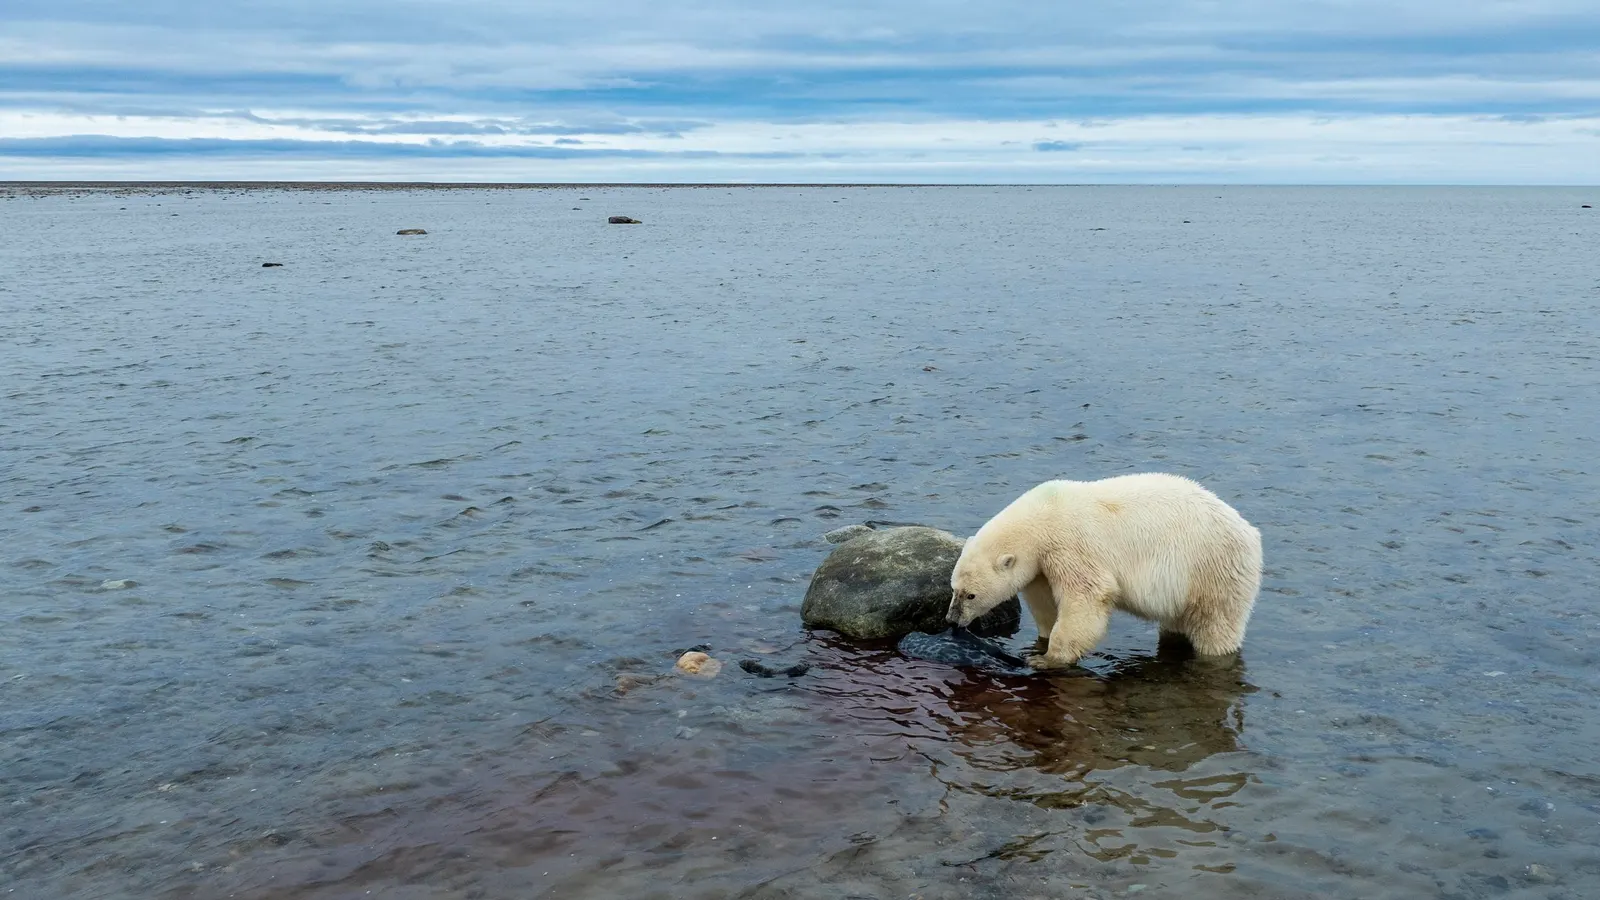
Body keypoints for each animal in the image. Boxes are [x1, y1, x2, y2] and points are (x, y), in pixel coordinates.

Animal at [946, 472, 1262, 670]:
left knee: (1216, 628)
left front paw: (1047, 659)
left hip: (1213, 571)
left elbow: (1087, 596)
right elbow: (1044, 600)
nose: (951, 620)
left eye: (971, 595)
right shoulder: (1042, 564)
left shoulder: (1070, 545)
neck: (1044, 512)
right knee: (1176, 624)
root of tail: (1250, 533)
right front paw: (1039, 644)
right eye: (954, 589)